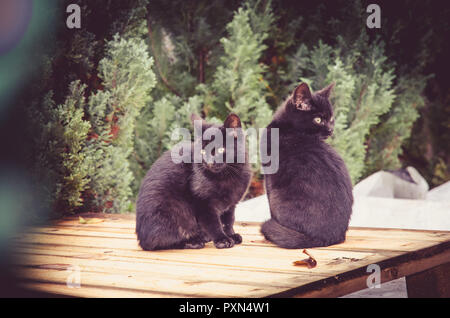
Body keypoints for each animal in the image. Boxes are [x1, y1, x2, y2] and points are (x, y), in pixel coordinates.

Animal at [135, 113, 251, 250]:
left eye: (220, 150)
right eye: (203, 151)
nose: (209, 162)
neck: (227, 177)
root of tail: (141, 239)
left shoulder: (231, 205)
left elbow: (228, 221)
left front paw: (231, 235)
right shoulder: (203, 203)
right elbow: (213, 223)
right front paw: (222, 239)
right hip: (172, 213)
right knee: (161, 242)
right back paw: (194, 241)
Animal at [260, 81, 356, 248]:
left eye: (331, 118)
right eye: (318, 119)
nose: (330, 130)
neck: (286, 127)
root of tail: (326, 238)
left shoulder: (268, 179)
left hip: (279, 196)